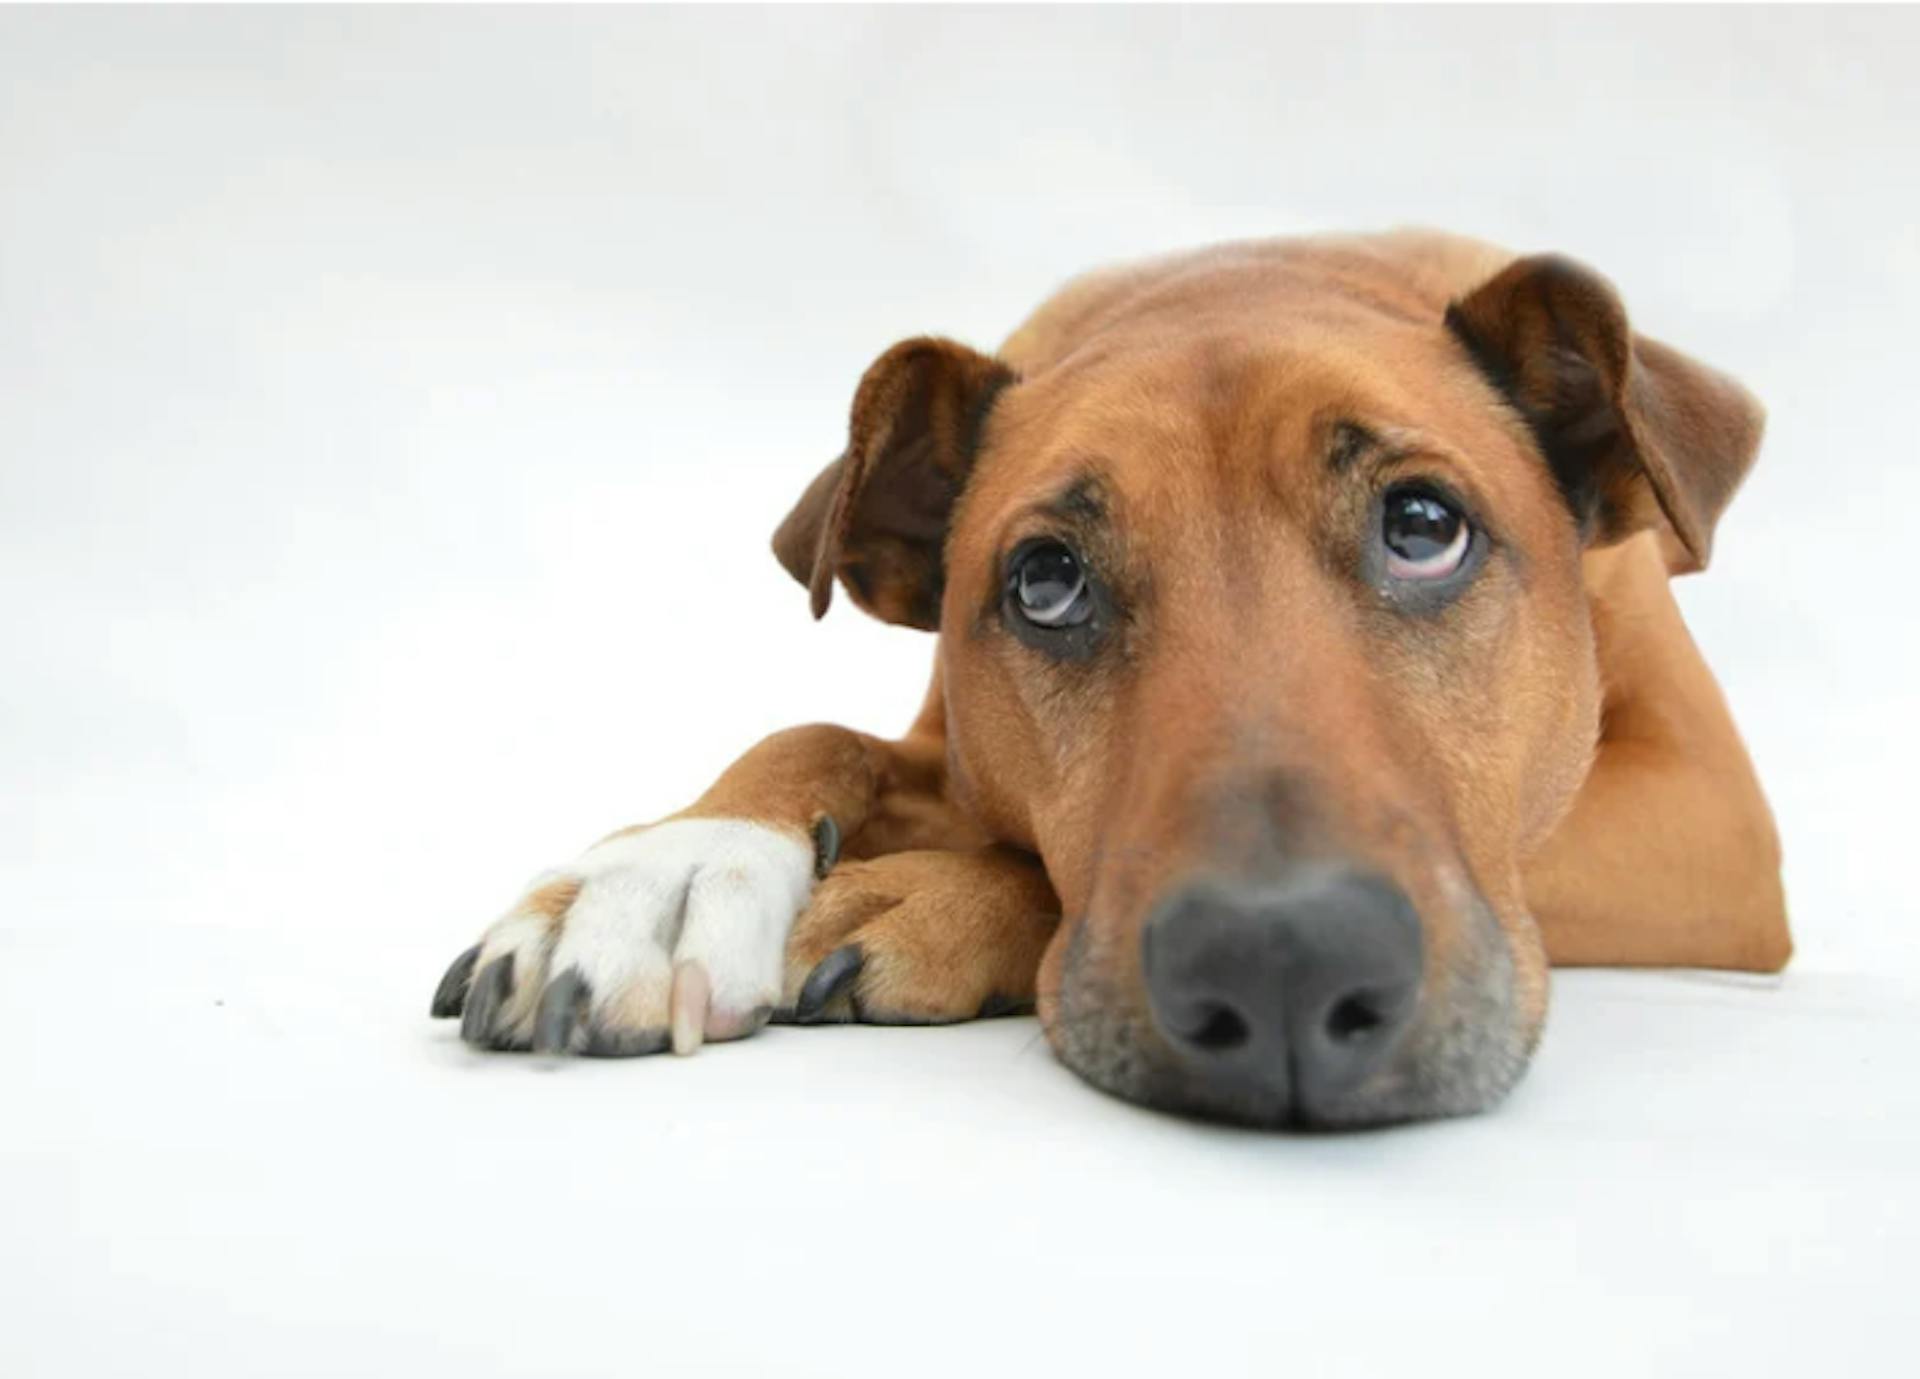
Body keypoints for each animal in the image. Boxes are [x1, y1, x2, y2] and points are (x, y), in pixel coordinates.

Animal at [428, 229, 1789, 1137]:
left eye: (1423, 526)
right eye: (1045, 581)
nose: (1283, 964)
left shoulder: (1709, 818)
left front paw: (942, 897)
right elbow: (816, 729)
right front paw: (669, 869)